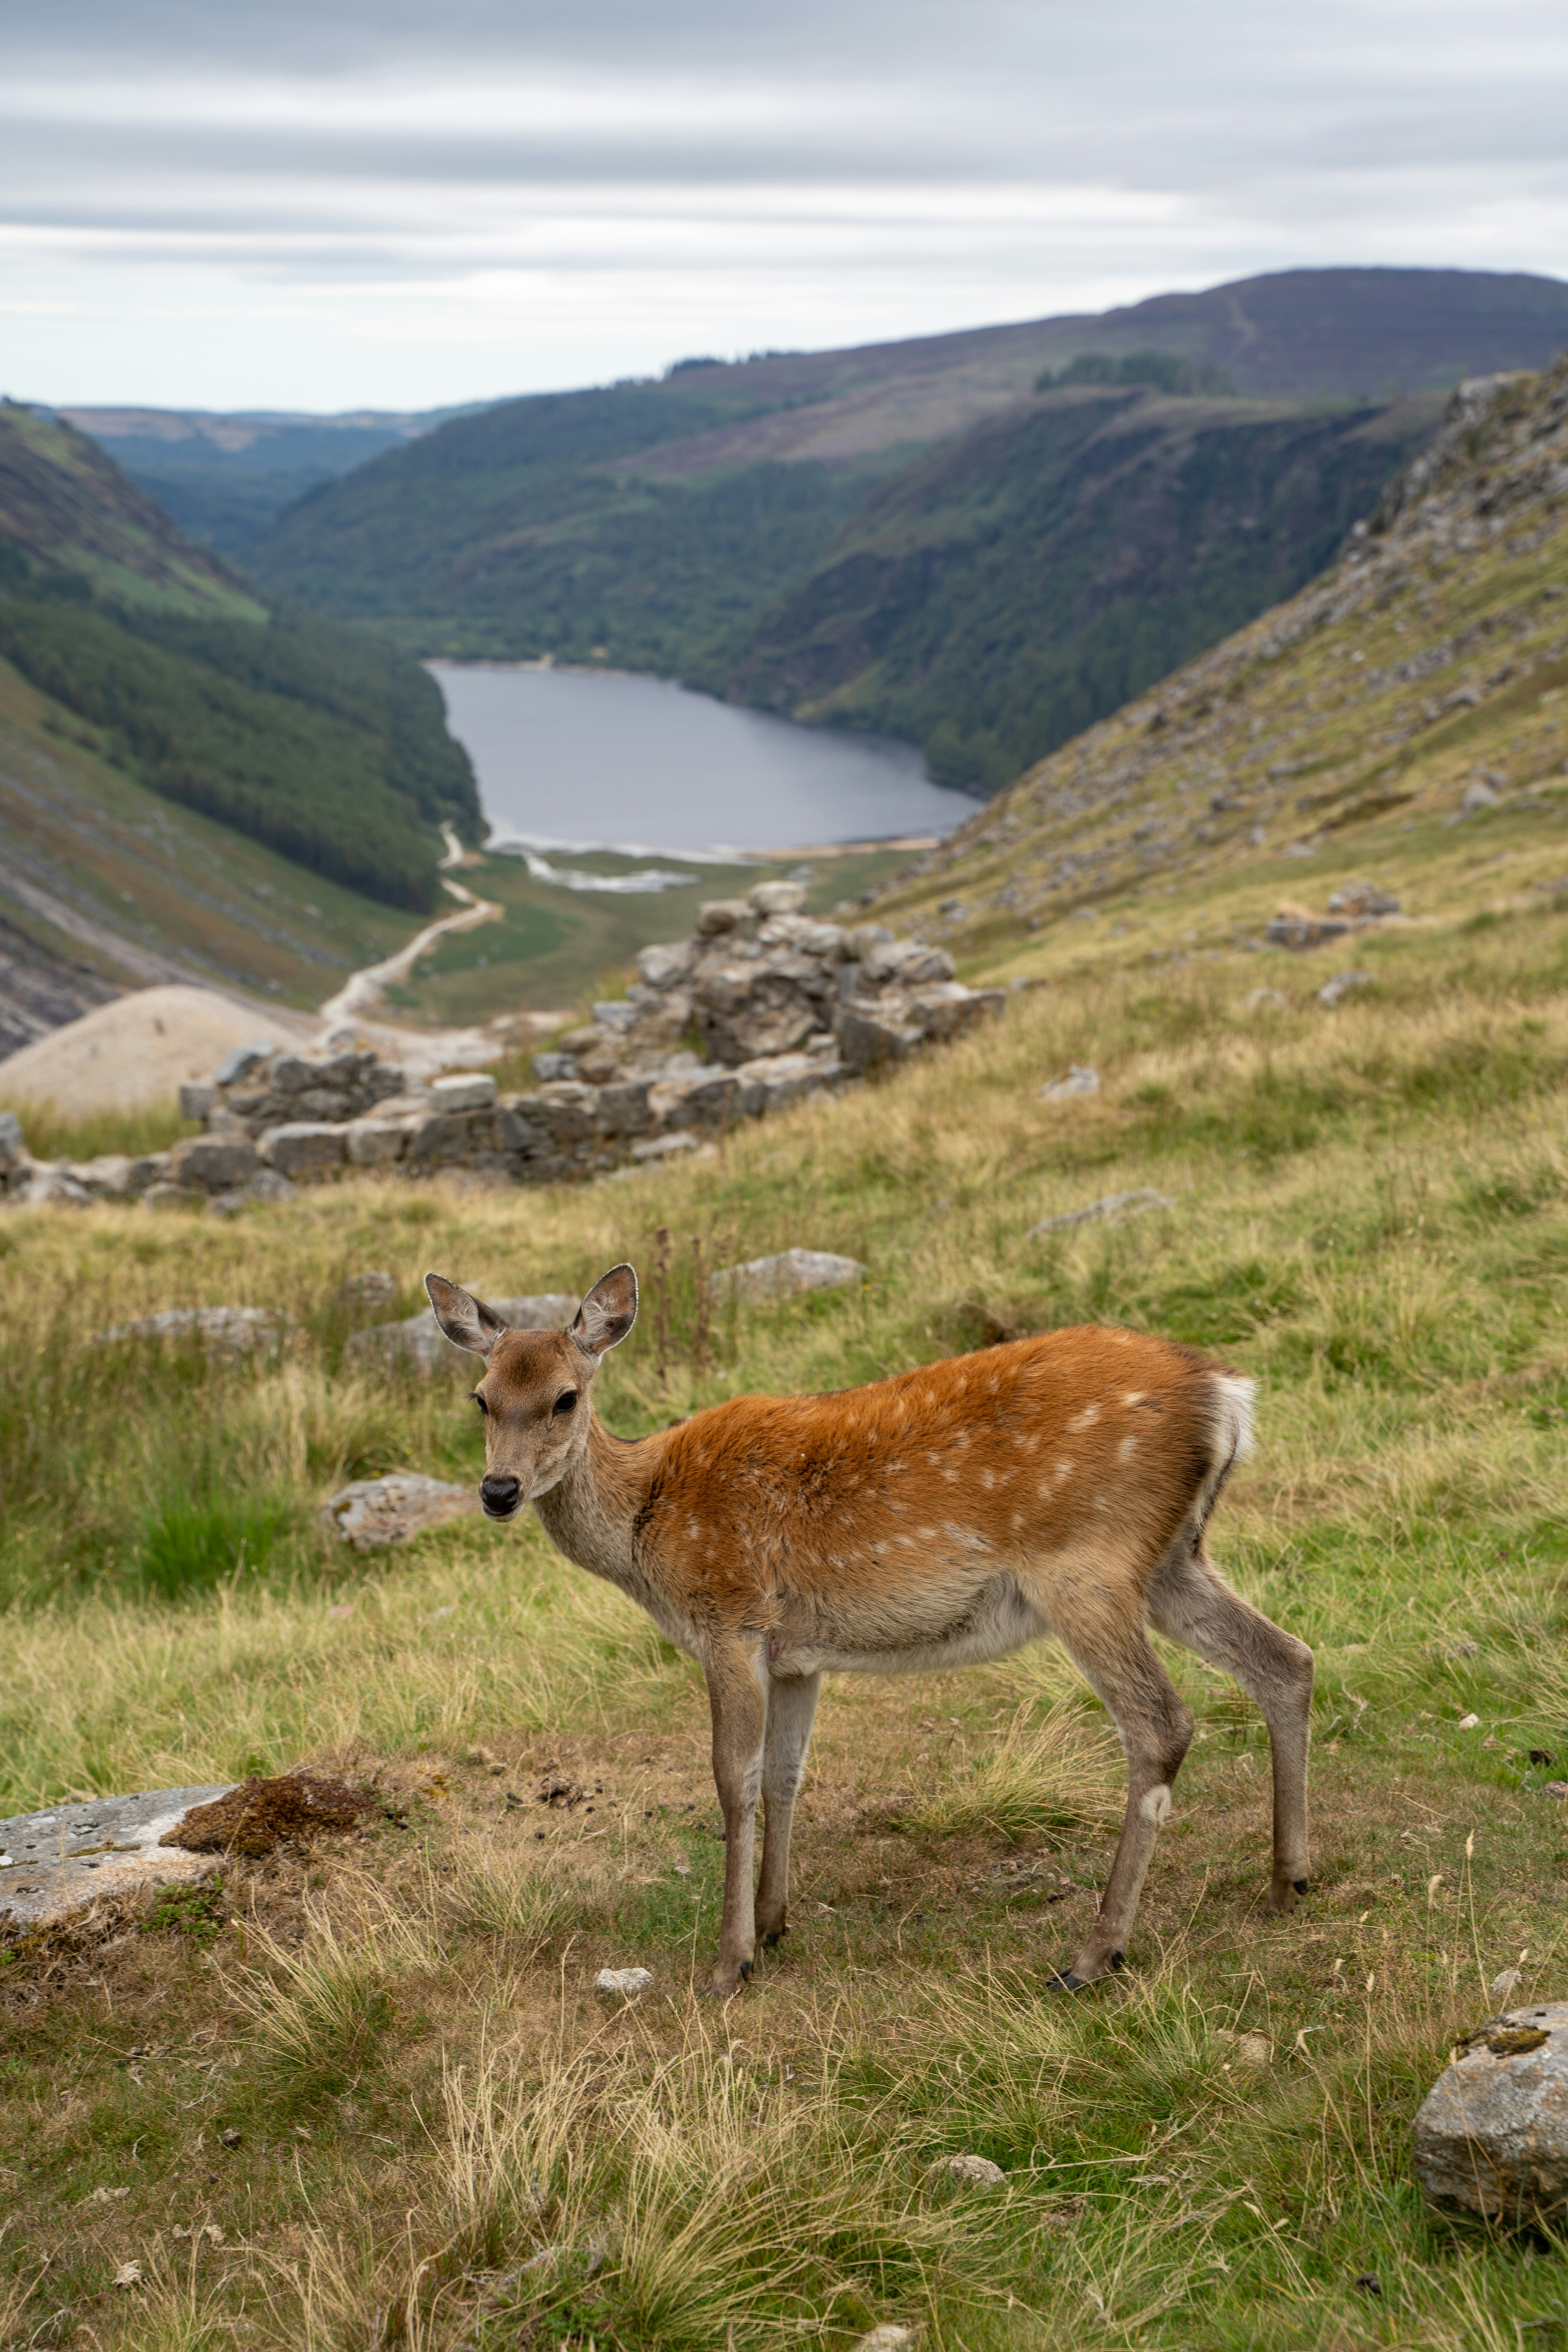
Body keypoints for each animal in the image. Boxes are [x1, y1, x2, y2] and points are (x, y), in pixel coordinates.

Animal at [425, 1264, 1313, 1997]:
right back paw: (1288, 1880)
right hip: (1171, 1558)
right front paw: (773, 1925)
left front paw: (727, 1962)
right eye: (481, 1398)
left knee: (1161, 1722)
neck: (648, 1524)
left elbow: (731, 1778)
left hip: (1086, 1562)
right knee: (1286, 1659)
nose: (499, 1489)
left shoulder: (729, 1616)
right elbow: (785, 1776)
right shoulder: (795, 1654)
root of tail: (1227, 1396)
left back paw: (1094, 1955)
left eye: (565, 1397)